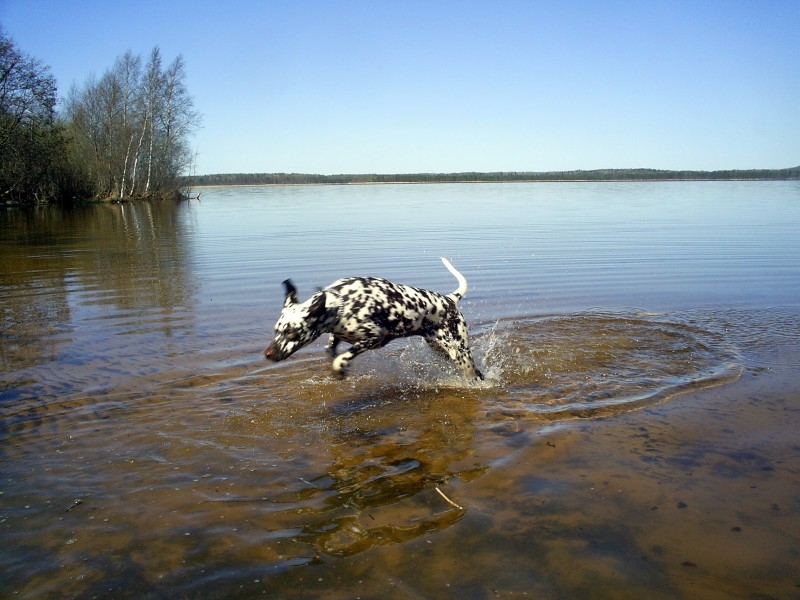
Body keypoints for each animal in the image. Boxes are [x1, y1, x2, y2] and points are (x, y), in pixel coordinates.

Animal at [266, 256, 484, 380]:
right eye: (276, 330)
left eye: (291, 332)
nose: (268, 353)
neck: (341, 302)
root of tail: (449, 299)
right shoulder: (337, 335)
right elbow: (331, 350)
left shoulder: (373, 338)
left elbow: (343, 356)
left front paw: (340, 366)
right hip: (442, 351)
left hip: (460, 356)